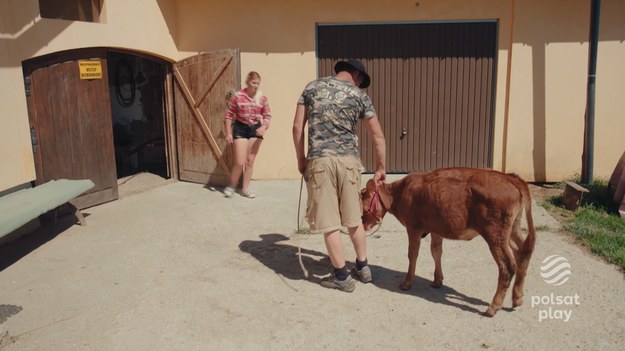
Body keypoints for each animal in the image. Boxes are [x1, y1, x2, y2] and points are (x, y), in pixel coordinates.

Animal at [360, 166, 536, 318]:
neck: (400, 192)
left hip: (495, 234)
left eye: (363, 204)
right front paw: (438, 280)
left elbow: (413, 255)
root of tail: (510, 177)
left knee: (507, 266)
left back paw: (493, 307)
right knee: (524, 252)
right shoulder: (436, 229)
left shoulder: (413, 227)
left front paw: (407, 283)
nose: (363, 225)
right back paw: (517, 298)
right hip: (512, 229)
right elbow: (436, 251)